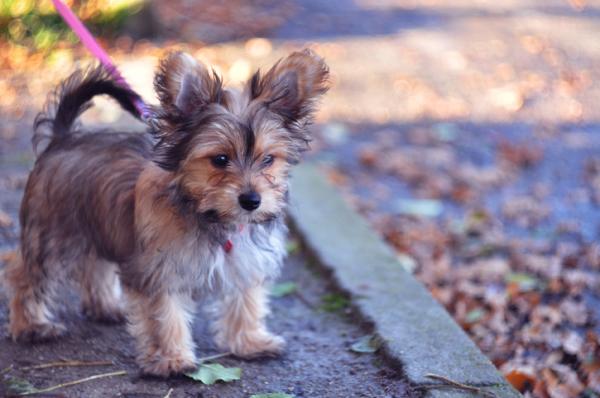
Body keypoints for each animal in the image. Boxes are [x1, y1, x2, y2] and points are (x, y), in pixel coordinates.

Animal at [4, 49, 330, 376]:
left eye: (268, 159)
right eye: (220, 159)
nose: (251, 200)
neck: (210, 215)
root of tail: (63, 139)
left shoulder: (244, 262)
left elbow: (246, 302)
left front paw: (249, 341)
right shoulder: (160, 271)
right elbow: (164, 315)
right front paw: (171, 358)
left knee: (94, 266)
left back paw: (106, 306)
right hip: (52, 235)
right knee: (26, 275)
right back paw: (32, 325)